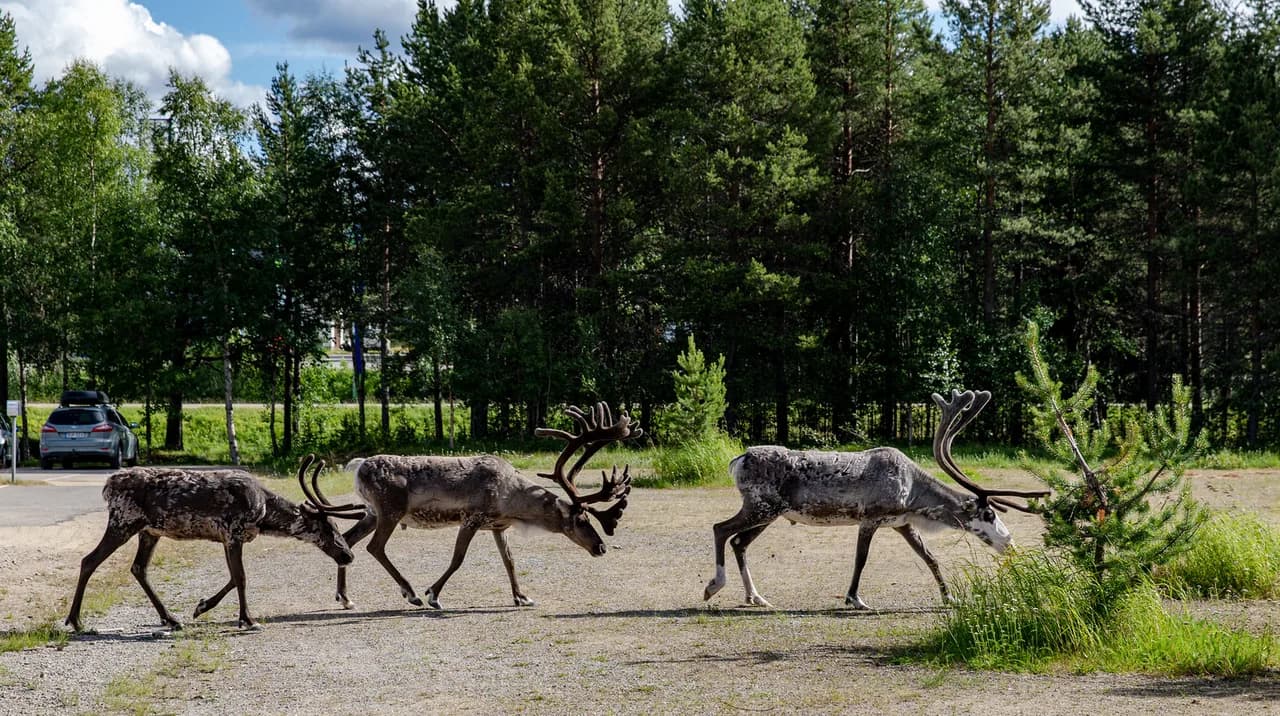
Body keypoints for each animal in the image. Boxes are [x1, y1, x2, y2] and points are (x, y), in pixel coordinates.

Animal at [66, 456, 365, 632]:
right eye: (328, 527)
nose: (348, 555)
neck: (264, 514)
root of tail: (107, 485)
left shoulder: (226, 538)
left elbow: (233, 577)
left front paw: (201, 607)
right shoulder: (233, 532)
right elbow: (241, 577)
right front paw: (248, 620)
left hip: (149, 530)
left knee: (138, 568)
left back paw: (171, 618)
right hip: (124, 521)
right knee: (89, 560)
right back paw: (76, 621)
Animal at [335, 402, 641, 610]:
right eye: (581, 520)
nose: (601, 547)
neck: (512, 500)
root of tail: (357, 467)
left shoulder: (498, 526)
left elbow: (510, 561)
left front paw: (522, 597)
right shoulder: (471, 517)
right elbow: (458, 559)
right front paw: (433, 595)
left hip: (371, 513)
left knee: (346, 540)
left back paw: (346, 598)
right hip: (390, 510)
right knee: (374, 547)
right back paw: (410, 594)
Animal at [703, 389, 1049, 609]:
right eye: (989, 515)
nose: (1009, 542)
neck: (913, 491)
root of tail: (740, 458)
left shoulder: (902, 523)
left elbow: (930, 557)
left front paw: (950, 597)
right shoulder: (869, 518)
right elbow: (861, 559)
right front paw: (855, 599)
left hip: (770, 512)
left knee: (739, 542)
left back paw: (756, 597)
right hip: (760, 507)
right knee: (721, 529)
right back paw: (714, 586)